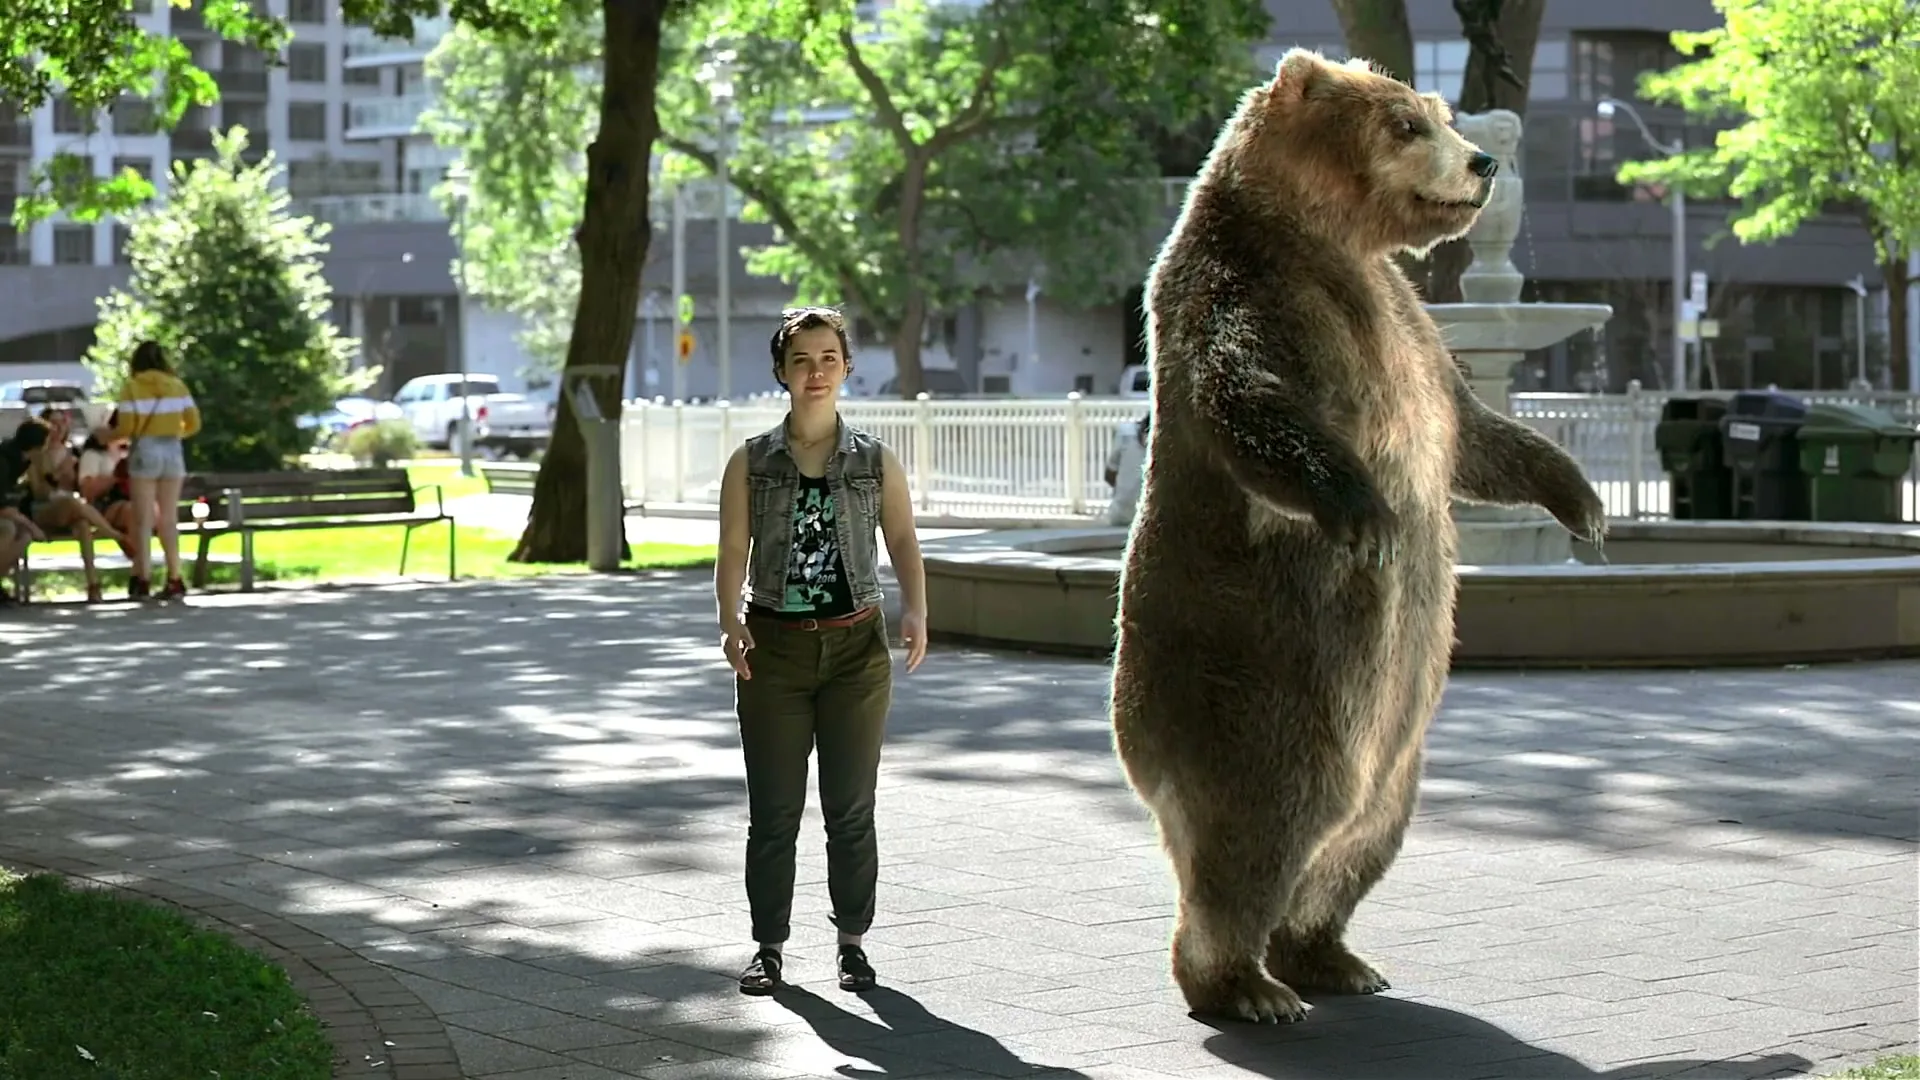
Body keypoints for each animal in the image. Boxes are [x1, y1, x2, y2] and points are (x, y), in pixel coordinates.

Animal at [1107, 48, 1607, 1026]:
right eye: (1407, 123)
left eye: (1441, 112)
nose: (1483, 163)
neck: (1331, 242)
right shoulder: (1242, 291)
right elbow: (1252, 402)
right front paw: (1370, 515)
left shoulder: (1407, 324)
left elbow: (1473, 433)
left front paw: (1583, 501)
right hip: (1263, 684)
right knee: (1259, 834)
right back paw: (1245, 983)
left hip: (1397, 752)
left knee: (1356, 843)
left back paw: (1332, 959)